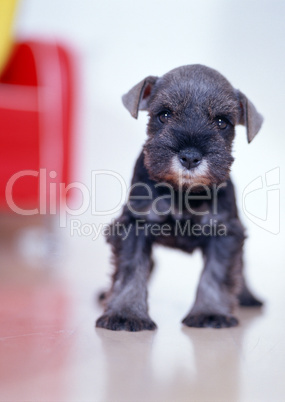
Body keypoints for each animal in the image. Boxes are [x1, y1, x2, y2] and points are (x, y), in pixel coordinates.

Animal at [95, 64, 262, 332]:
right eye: (164, 115)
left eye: (222, 122)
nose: (191, 157)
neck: (182, 192)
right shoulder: (135, 226)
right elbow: (131, 270)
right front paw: (125, 313)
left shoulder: (225, 232)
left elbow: (217, 274)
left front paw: (210, 312)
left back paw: (247, 296)